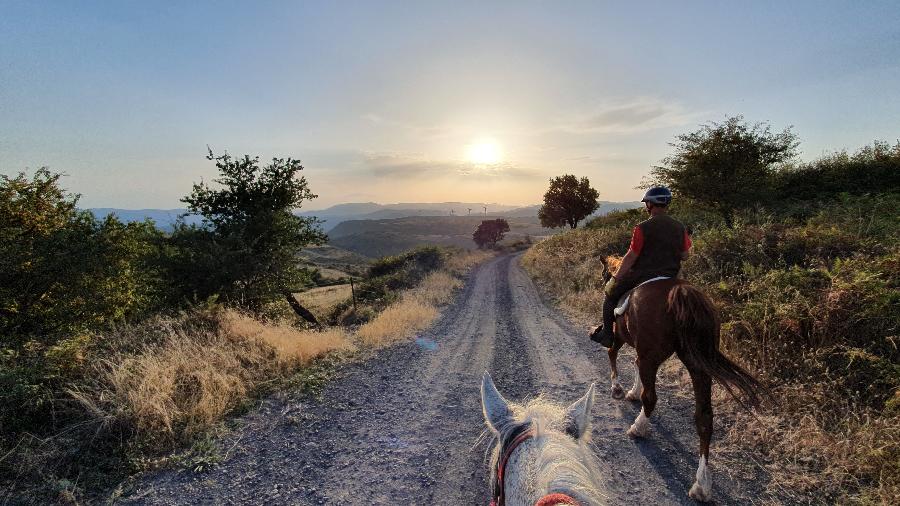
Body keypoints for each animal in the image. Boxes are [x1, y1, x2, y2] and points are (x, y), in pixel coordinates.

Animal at [596, 260, 768, 502]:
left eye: (605, 273)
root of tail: (683, 293)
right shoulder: (642, 351)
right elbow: (636, 366)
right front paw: (631, 391)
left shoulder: (622, 338)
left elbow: (612, 354)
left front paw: (617, 388)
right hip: (696, 364)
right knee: (704, 417)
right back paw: (701, 484)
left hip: (655, 354)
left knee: (651, 398)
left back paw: (638, 428)